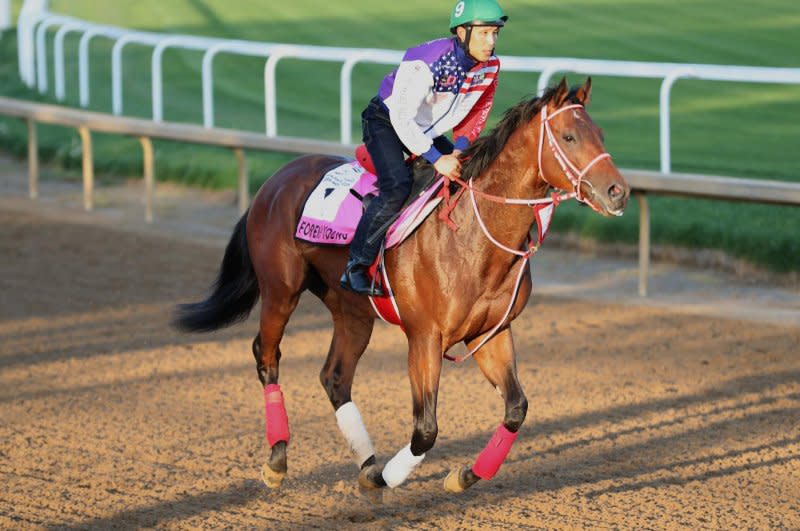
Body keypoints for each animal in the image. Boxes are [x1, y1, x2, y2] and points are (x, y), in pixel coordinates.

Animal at [175, 78, 632, 494]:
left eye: (601, 134)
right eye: (569, 136)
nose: (619, 191)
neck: (472, 235)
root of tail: (273, 182)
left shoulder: (491, 332)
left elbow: (516, 408)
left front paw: (463, 476)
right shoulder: (425, 337)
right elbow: (426, 429)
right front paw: (389, 478)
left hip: (353, 311)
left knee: (335, 377)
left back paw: (365, 462)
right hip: (281, 291)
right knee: (267, 357)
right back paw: (278, 461)